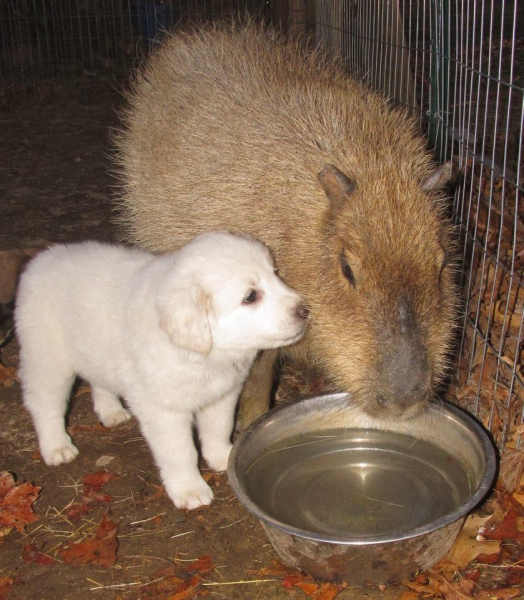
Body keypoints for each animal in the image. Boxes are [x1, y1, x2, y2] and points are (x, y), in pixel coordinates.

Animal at [15, 232, 308, 508]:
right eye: (250, 296)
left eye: (275, 274)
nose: (305, 310)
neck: (204, 355)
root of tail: (43, 258)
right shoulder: (165, 410)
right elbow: (181, 452)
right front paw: (189, 489)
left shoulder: (222, 395)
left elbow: (218, 428)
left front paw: (223, 456)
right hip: (48, 359)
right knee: (44, 404)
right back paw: (57, 446)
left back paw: (111, 412)